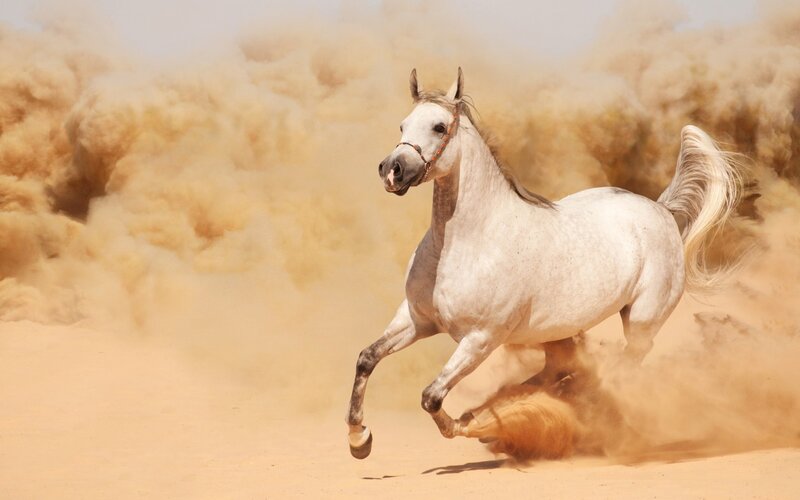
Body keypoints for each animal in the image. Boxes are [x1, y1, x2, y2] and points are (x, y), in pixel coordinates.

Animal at [346, 68, 741, 459]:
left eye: (439, 127)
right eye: (403, 125)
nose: (392, 170)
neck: (466, 243)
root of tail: (661, 210)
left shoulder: (480, 339)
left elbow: (431, 397)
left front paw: (471, 424)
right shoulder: (416, 320)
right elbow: (366, 357)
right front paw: (359, 439)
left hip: (642, 322)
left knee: (620, 369)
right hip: (563, 333)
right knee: (563, 371)